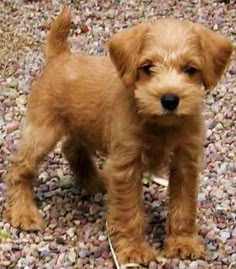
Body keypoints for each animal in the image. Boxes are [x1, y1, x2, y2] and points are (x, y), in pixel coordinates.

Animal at [5, 6, 232, 264]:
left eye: (190, 69)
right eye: (147, 67)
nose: (170, 99)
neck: (159, 125)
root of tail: (60, 56)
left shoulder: (186, 163)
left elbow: (184, 208)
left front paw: (183, 242)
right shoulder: (127, 166)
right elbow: (129, 212)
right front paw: (134, 249)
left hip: (81, 126)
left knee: (71, 148)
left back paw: (93, 181)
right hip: (42, 131)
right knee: (19, 168)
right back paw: (23, 212)